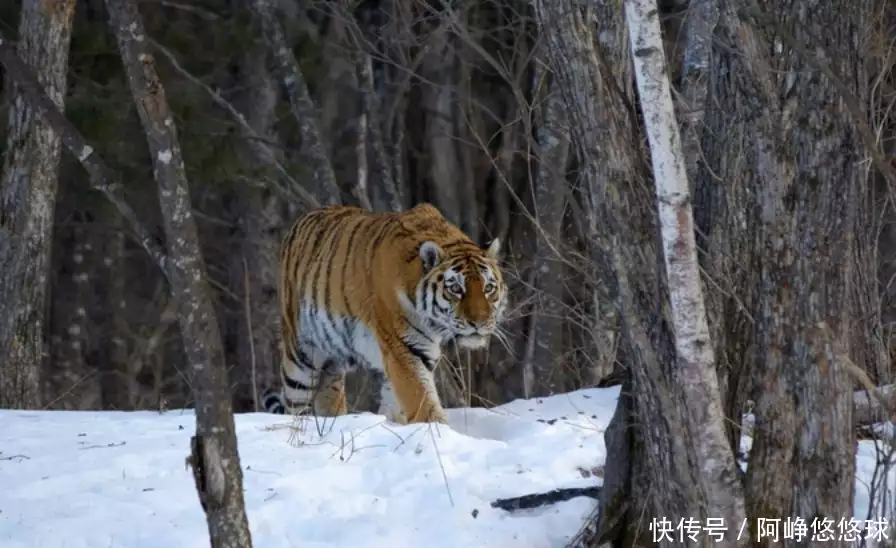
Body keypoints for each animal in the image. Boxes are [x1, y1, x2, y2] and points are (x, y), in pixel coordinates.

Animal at [262, 201, 508, 424]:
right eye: (456, 288)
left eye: (488, 288)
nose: (479, 322)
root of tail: (301, 220)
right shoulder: (403, 347)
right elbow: (421, 400)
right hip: (300, 359)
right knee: (295, 406)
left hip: (331, 361)